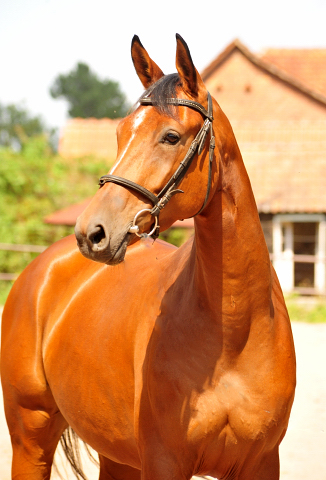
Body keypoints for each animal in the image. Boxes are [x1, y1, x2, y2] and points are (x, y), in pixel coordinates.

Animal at [0, 34, 296, 480]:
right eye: (121, 132)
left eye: (170, 137)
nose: (92, 232)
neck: (236, 333)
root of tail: (42, 268)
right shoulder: (164, 462)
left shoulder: (262, 463)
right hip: (30, 439)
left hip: (116, 455)